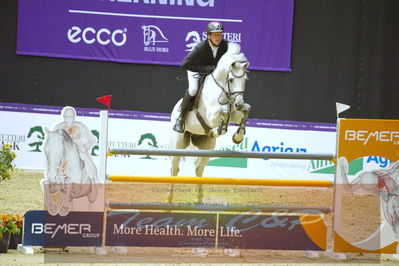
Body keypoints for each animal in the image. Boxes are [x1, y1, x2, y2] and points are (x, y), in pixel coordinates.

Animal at [168, 42, 250, 203]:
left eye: (245, 80)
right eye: (231, 80)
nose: (238, 103)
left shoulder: (236, 114)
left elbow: (245, 110)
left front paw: (238, 136)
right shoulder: (211, 116)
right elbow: (223, 112)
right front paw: (219, 129)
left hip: (206, 148)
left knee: (198, 168)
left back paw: (199, 201)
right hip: (177, 145)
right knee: (174, 169)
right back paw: (169, 199)